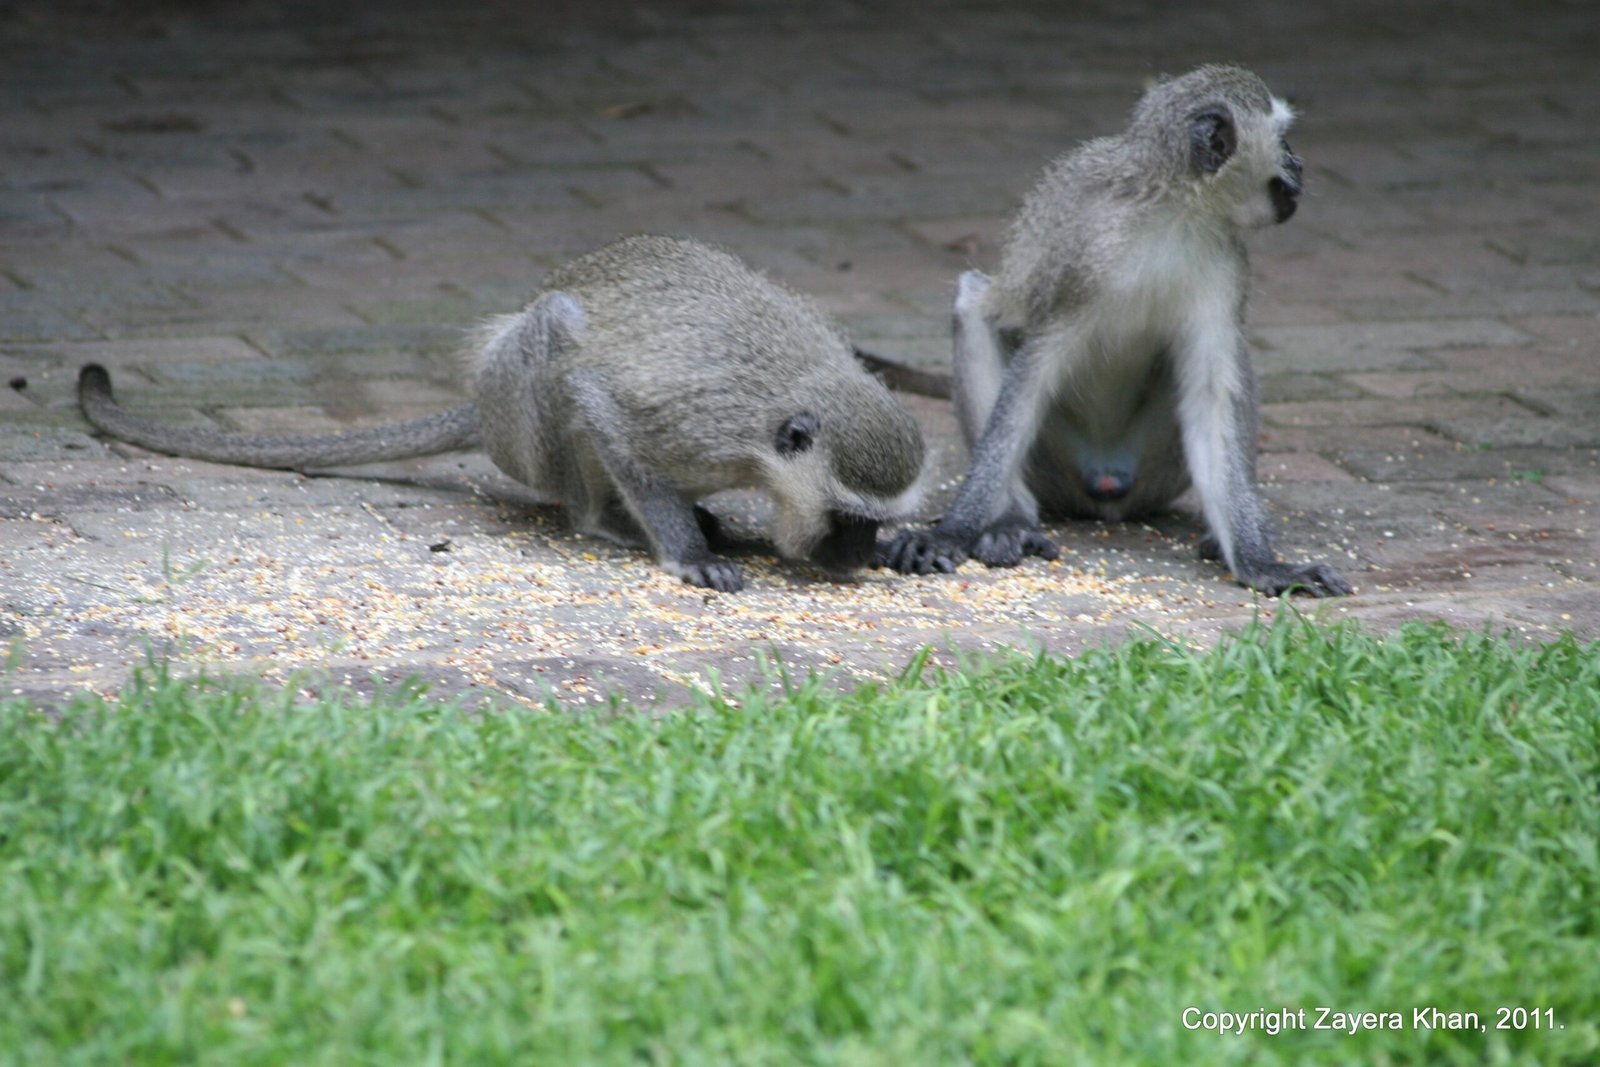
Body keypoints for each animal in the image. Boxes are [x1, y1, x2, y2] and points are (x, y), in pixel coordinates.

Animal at [79, 235, 928, 593]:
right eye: (847, 516)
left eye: (874, 520)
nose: (856, 555)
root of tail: (482, 406)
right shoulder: (695, 426)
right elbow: (601, 405)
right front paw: (685, 551)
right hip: (524, 412)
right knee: (557, 339)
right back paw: (610, 519)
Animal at [878, 64, 1352, 597]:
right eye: (1284, 138)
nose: (1301, 164)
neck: (1174, 214)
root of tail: (1106, 480)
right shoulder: (1085, 254)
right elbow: (1032, 375)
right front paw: (953, 530)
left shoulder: (1225, 262)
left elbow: (1211, 394)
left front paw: (1260, 563)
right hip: (1057, 466)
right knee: (975, 305)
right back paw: (1009, 522)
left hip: (1153, 469)